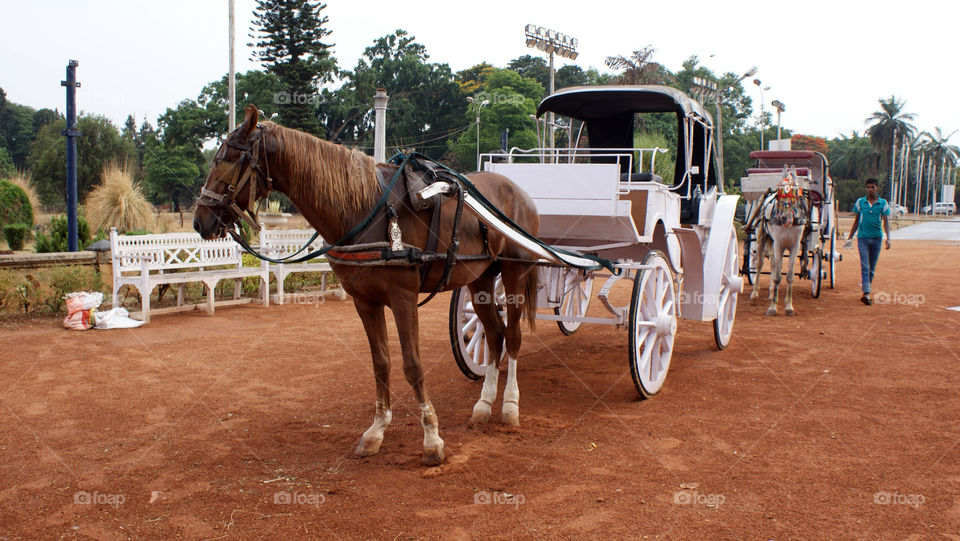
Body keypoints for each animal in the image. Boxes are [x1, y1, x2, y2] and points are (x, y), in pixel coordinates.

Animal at [194, 104, 539, 466]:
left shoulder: (403, 298)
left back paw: (510, 406)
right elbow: (381, 363)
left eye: (227, 160)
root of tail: (516, 189)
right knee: (495, 336)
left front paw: (431, 438)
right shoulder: (365, 301)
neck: (365, 208)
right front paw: (377, 429)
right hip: (480, 279)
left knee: (513, 337)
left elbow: (412, 365)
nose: (200, 220)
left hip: (515, 273)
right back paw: (484, 405)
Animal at [748, 174, 809, 316]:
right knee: (760, 265)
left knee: (773, 264)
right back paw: (755, 293)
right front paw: (772, 307)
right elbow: (777, 277)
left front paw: (789, 306)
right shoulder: (778, 245)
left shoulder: (794, 246)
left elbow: (789, 276)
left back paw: (771, 293)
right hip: (763, 238)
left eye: (794, 195)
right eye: (780, 196)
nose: (786, 219)